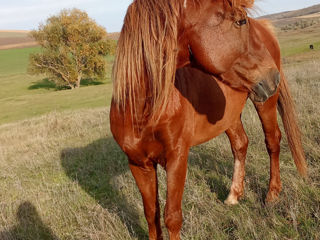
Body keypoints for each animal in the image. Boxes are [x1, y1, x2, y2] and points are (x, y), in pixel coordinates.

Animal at [110, 0, 308, 239]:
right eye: (240, 21)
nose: (273, 76)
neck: (143, 110)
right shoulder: (138, 164)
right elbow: (151, 215)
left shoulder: (177, 158)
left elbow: (172, 217)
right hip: (230, 115)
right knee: (240, 144)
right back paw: (233, 195)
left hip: (265, 102)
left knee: (272, 141)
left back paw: (271, 195)